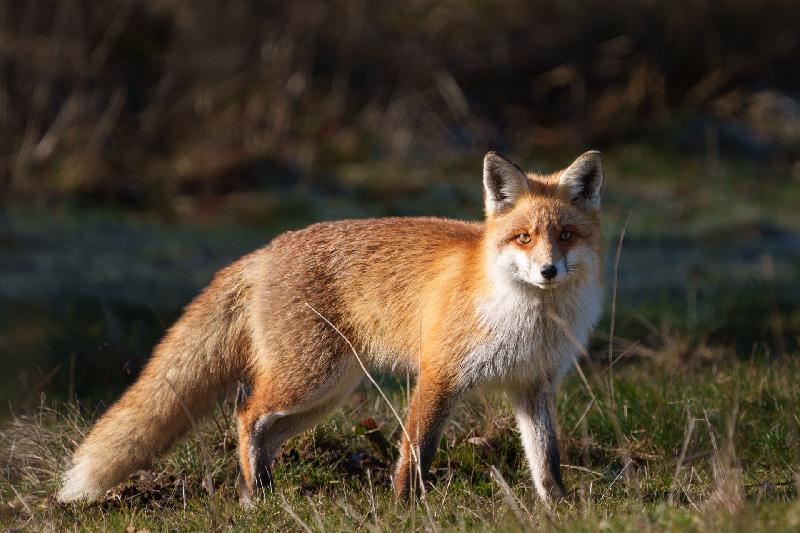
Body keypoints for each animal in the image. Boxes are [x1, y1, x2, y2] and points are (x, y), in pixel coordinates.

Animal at [57, 150, 604, 506]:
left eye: (566, 235)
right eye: (524, 237)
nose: (548, 271)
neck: (529, 318)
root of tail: (265, 250)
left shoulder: (533, 384)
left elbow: (546, 457)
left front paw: (559, 507)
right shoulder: (440, 373)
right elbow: (417, 448)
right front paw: (405, 507)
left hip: (327, 394)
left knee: (264, 431)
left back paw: (258, 493)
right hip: (310, 380)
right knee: (245, 414)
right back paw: (258, 496)